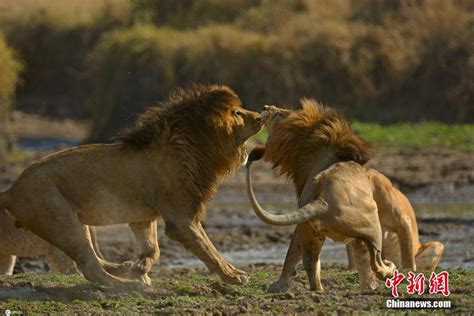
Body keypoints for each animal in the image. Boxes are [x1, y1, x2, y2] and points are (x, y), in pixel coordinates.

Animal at [0, 85, 262, 288]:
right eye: (237, 112)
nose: (260, 116)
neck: (193, 148)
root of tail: (11, 190)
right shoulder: (181, 219)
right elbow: (208, 249)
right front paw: (233, 277)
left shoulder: (143, 218)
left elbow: (154, 250)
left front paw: (141, 267)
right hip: (61, 220)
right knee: (90, 267)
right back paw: (127, 285)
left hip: (78, 223)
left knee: (95, 260)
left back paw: (126, 269)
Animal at [246, 100, 394, 292]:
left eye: (278, 114)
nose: (264, 108)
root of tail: (323, 201)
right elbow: (365, 262)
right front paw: (371, 286)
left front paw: (368, 287)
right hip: (373, 227)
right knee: (376, 261)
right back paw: (390, 269)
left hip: (308, 230)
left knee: (307, 260)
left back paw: (296, 288)